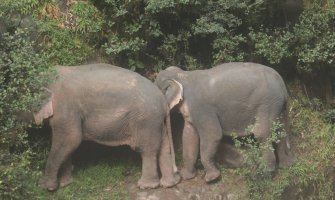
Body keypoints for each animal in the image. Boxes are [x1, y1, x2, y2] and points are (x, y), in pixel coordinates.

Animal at [33, 63, 181, 191]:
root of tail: (163, 100)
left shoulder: (64, 107)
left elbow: (70, 140)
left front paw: (46, 186)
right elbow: (68, 144)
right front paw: (65, 183)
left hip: (146, 120)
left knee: (147, 150)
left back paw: (146, 186)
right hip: (156, 121)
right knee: (164, 147)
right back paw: (169, 184)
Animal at [154, 62, 296, 183]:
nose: (176, 171)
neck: (182, 75)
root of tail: (283, 85)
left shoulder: (201, 107)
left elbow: (213, 135)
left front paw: (211, 179)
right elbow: (189, 137)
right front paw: (187, 176)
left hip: (267, 104)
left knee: (262, 134)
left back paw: (264, 174)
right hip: (277, 106)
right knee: (280, 132)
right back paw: (286, 164)